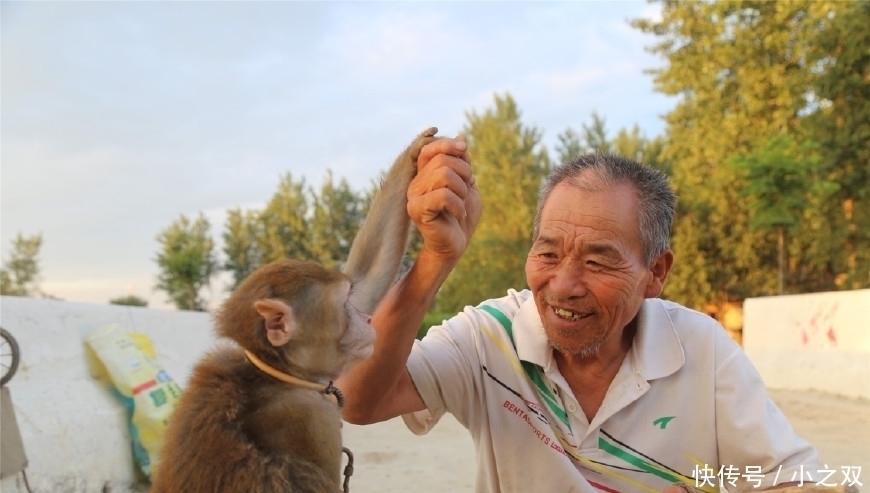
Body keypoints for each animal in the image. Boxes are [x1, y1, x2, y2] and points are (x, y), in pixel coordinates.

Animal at [150, 128, 440, 492]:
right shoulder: (312, 419)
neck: (277, 376)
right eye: (343, 308)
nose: (365, 319)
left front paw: (417, 151)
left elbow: (367, 277)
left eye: (349, 300)